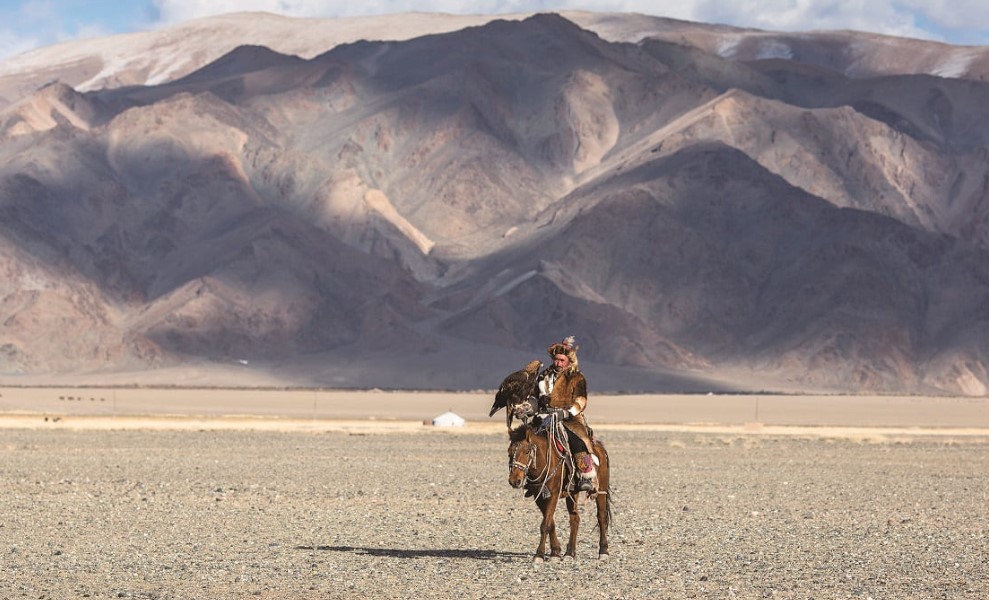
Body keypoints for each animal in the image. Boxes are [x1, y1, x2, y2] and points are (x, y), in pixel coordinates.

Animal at [510, 420, 608, 560]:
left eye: (527, 451)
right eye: (509, 452)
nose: (514, 480)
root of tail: (599, 447)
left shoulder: (553, 494)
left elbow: (545, 524)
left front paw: (539, 555)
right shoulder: (539, 497)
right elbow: (550, 522)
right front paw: (555, 552)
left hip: (601, 489)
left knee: (601, 516)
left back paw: (603, 551)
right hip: (572, 493)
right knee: (575, 519)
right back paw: (570, 553)